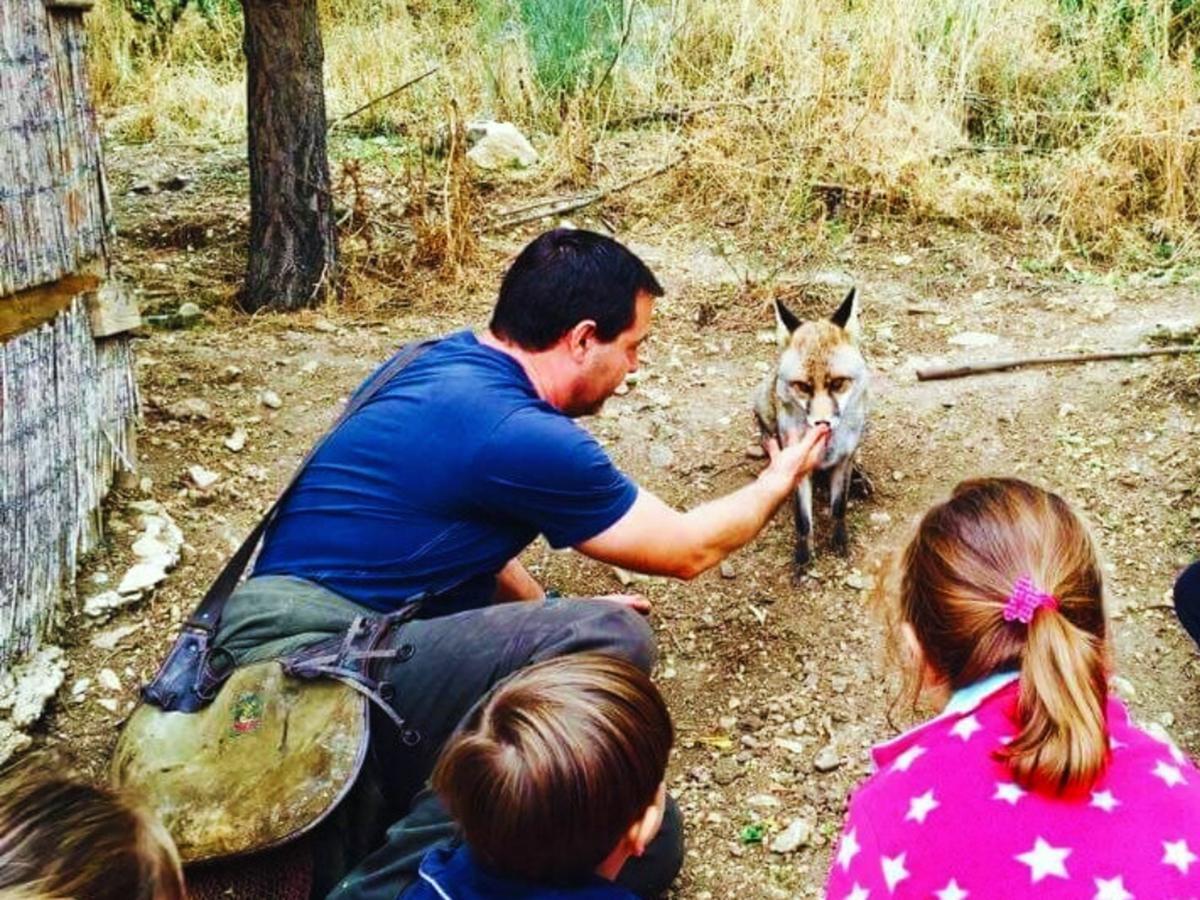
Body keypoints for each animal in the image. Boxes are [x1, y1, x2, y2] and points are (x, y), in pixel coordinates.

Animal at [753, 289, 868, 573]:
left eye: (838, 383)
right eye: (803, 387)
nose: (822, 423)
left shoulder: (842, 462)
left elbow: (839, 508)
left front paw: (840, 543)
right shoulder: (798, 467)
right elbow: (803, 520)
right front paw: (804, 558)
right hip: (763, 407)